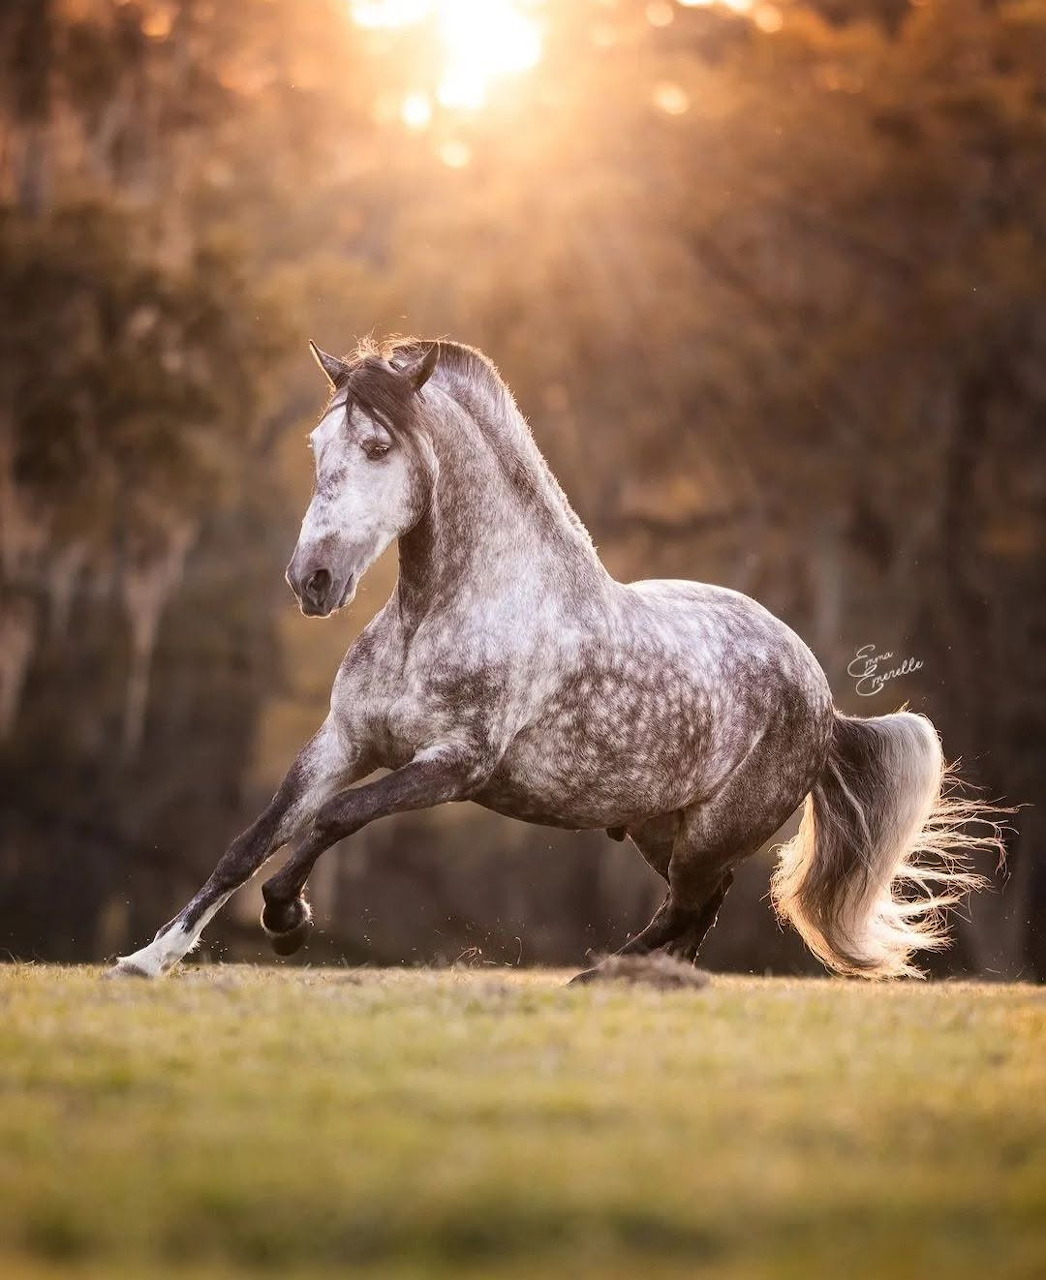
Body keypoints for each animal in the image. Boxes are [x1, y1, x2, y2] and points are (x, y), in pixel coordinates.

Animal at [109, 337, 996, 981]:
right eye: (318, 440)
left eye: (377, 445)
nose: (313, 580)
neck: (442, 613)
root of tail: (822, 698)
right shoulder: (344, 742)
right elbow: (252, 838)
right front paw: (148, 959)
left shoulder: (455, 766)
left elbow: (335, 819)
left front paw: (288, 920)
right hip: (657, 824)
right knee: (696, 909)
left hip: (712, 832)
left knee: (693, 904)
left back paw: (601, 979)